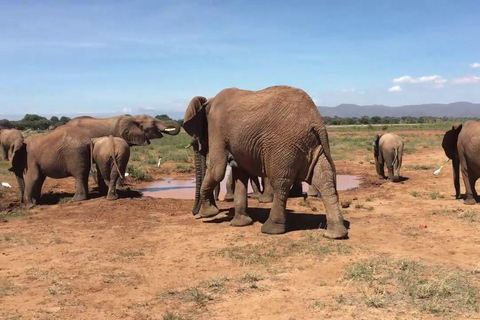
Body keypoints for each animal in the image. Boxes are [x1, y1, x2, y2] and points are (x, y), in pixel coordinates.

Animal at [182, 85, 346, 238]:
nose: (194, 214)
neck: (208, 101)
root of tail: (316, 121)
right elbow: (240, 174)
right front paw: (240, 223)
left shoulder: (217, 128)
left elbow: (217, 170)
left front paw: (209, 213)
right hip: (312, 143)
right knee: (324, 180)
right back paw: (336, 234)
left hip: (283, 145)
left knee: (280, 183)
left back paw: (270, 229)